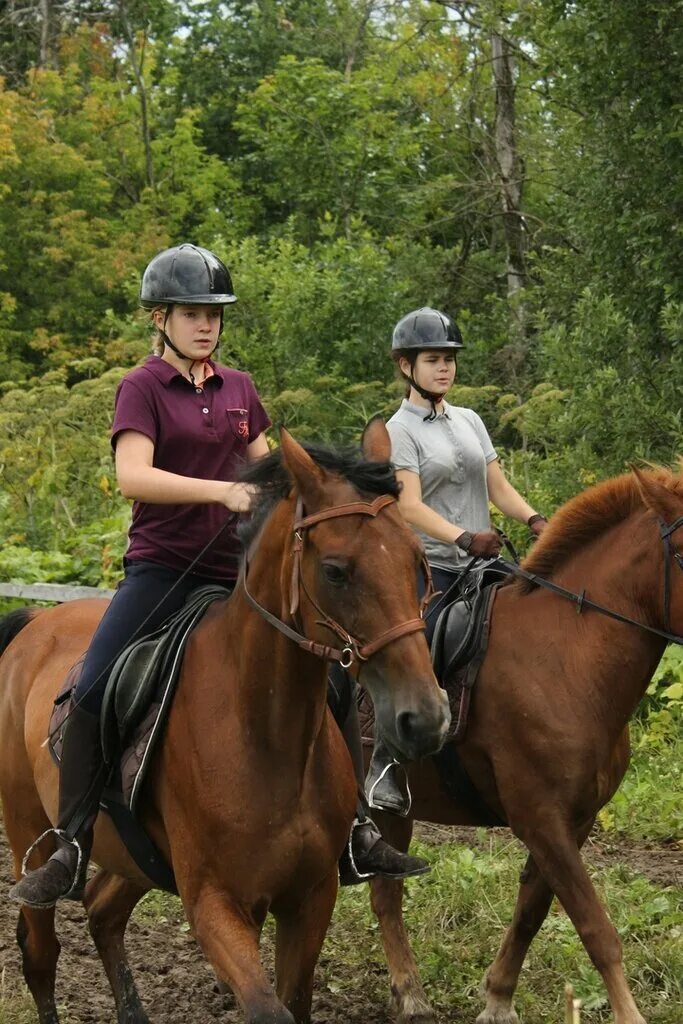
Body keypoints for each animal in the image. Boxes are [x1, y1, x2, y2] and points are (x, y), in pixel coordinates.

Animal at [0, 421, 450, 1024]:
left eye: (415, 562)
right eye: (335, 571)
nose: (426, 718)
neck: (263, 734)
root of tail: (35, 622)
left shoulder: (310, 900)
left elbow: (295, 1001)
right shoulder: (218, 904)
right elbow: (267, 1009)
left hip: (138, 857)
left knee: (101, 911)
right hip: (28, 833)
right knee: (41, 952)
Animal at [366, 466, 679, 1024]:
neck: (567, 658)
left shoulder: (574, 819)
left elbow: (533, 910)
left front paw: (497, 998)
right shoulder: (540, 816)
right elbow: (596, 928)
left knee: (384, 890)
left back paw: (407, 991)